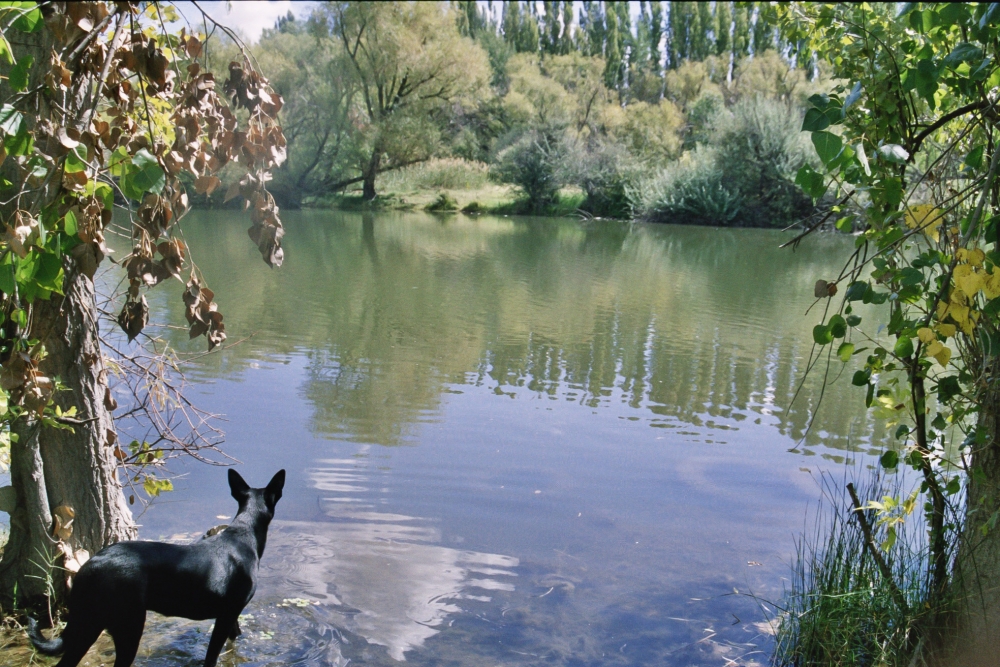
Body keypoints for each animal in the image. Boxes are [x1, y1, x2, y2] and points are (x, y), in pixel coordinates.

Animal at [28, 470, 286, 667]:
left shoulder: (230, 617)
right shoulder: (227, 614)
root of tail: (90, 566)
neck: (245, 532)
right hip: (128, 625)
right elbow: (211, 657)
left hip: (90, 622)